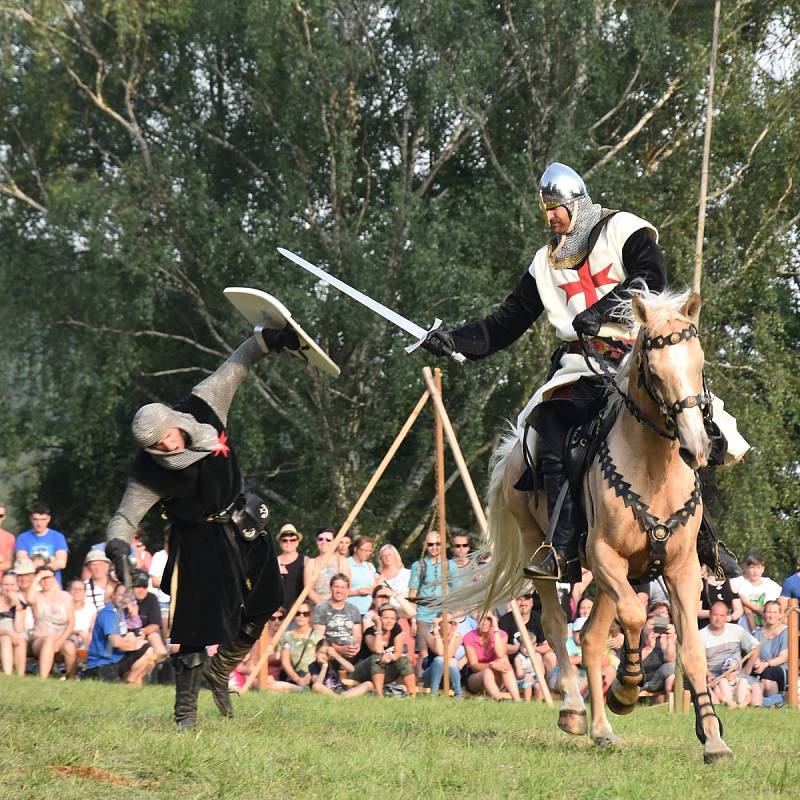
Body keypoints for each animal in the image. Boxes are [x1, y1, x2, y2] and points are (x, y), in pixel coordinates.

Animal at [468, 290, 736, 764]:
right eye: (653, 370)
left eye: (699, 364)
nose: (696, 446)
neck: (652, 468)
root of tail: (513, 451)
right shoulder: (604, 555)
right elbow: (633, 616)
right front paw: (625, 690)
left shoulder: (682, 568)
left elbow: (690, 649)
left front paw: (713, 738)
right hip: (543, 549)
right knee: (558, 626)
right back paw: (576, 711)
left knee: (591, 638)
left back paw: (601, 729)